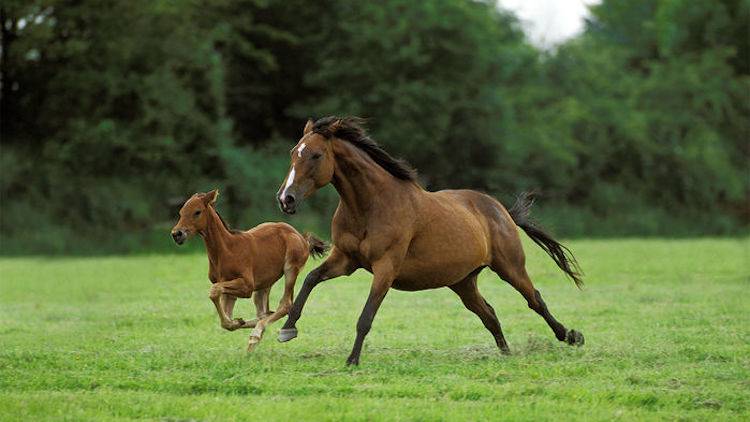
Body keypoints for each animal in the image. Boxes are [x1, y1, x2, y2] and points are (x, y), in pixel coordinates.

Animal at [175, 190, 330, 352]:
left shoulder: (247, 286)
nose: (177, 234)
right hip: (264, 285)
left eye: (197, 212)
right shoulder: (229, 291)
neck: (227, 250)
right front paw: (238, 322)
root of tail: (302, 237)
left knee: (285, 305)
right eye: (181, 212)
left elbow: (214, 291)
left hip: (290, 269)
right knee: (264, 312)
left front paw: (242, 325)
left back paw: (256, 335)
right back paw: (255, 335)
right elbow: (226, 319)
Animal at [276, 118, 588, 366]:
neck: (371, 205)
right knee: (489, 314)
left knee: (534, 299)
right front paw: (287, 329)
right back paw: (506, 353)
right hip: (463, 282)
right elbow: (311, 279)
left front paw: (352, 360)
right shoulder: (345, 259)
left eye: (316, 155)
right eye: (293, 153)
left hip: (509, 267)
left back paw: (571, 336)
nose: (285, 199)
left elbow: (366, 316)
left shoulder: (385, 268)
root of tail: (501, 210)